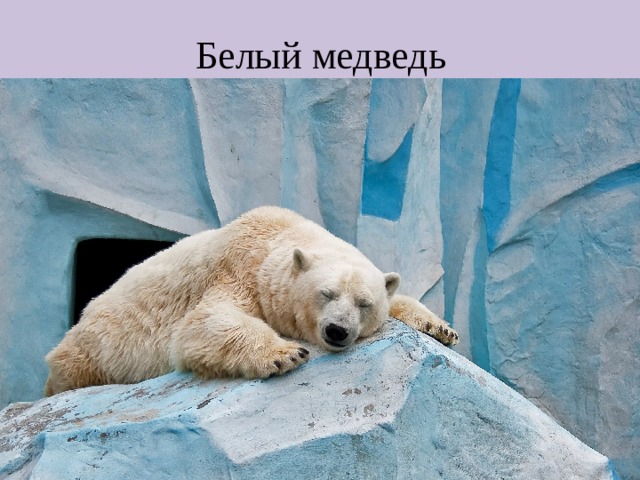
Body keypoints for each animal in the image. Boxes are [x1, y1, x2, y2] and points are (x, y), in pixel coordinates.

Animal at [45, 206, 458, 396]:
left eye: (363, 302)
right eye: (326, 293)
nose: (337, 331)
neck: (278, 235)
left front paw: (441, 328)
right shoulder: (238, 270)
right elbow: (202, 323)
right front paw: (284, 353)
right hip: (91, 351)